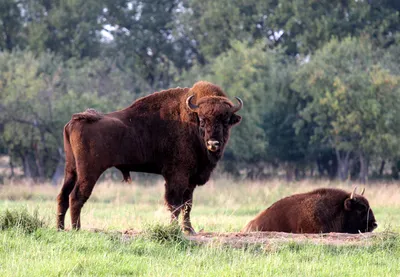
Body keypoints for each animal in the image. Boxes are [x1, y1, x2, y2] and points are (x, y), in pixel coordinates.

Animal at [56, 81, 242, 232]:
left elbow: (187, 204)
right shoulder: (178, 176)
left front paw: (190, 230)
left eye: (226, 121)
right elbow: (175, 204)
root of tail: (75, 121)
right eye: (202, 120)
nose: (213, 144)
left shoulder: (190, 180)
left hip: (71, 169)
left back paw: (60, 228)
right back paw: (76, 229)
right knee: (76, 196)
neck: (191, 121)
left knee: (63, 195)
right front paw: (175, 229)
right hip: (89, 172)